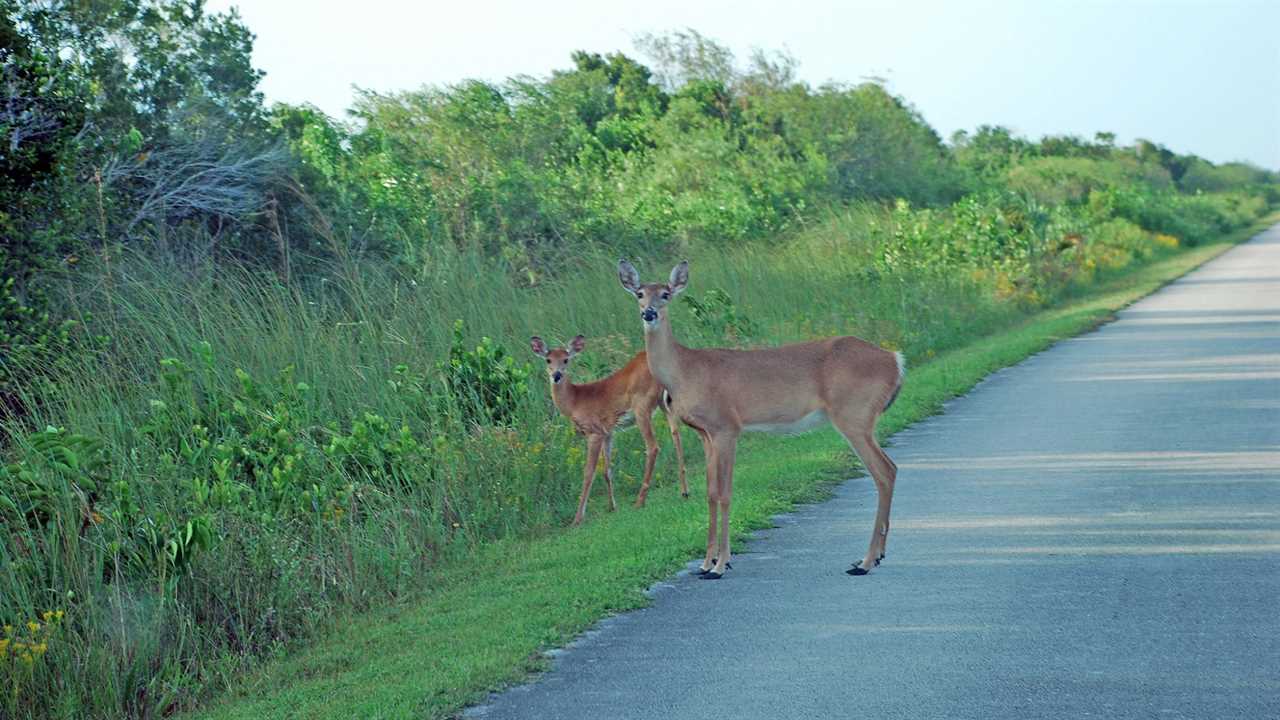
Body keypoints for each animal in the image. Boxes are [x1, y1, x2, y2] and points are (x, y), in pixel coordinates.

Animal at [529, 333, 691, 525]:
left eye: (566, 359)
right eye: (548, 360)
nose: (557, 375)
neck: (575, 402)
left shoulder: (593, 431)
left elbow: (589, 472)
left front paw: (577, 518)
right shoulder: (608, 432)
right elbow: (607, 471)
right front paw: (611, 506)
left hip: (641, 405)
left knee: (653, 447)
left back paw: (640, 500)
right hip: (665, 402)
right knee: (676, 434)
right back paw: (684, 491)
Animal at [616, 257, 901, 576]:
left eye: (665, 293)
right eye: (639, 293)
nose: (649, 313)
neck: (684, 372)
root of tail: (895, 360)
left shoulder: (727, 426)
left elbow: (725, 493)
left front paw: (721, 564)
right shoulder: (705, 434)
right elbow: (710, 494)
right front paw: (705, 563)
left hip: (853, 414)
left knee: (884, 471)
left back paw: (865, 561)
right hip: (860, 418)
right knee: (889, 469)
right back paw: (876, 556)